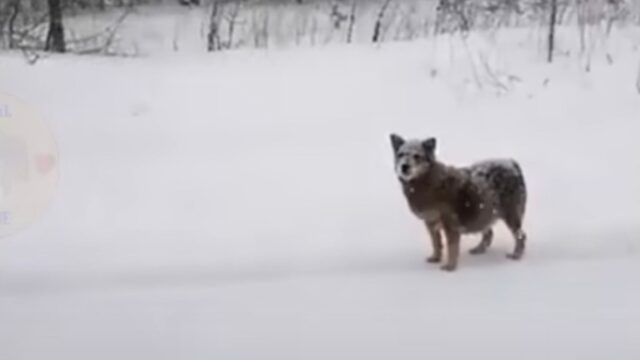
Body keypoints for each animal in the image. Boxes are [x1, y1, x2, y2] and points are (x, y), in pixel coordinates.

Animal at [390, 134, 528, 272]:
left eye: (417, 156)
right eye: (401, 154)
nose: (404, 166)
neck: (427, 182)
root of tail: (511, 163)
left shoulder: (450, 224)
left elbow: (452, 247)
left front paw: (450, 267)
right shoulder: (430, 222)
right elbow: (436, 243)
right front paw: (435, 258)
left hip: (510, 215)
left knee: (521, 236)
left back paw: (516, 255)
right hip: (483, 211)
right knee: (489, 233)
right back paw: (479, 249)